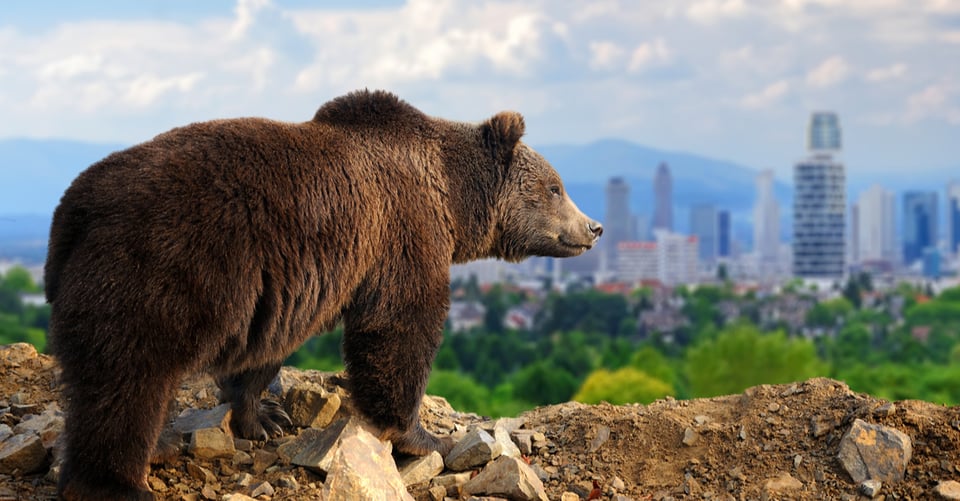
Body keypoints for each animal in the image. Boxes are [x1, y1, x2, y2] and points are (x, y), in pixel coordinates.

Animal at [45, 89, 602, 500]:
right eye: (555, 187)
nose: (593, 227)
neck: (451, 197)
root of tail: (74, 208)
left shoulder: (288, 283)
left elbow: (267, 349)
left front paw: (265, 417)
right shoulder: (402, 232)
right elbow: (401, 327)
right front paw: (424, 436)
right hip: (159, 270)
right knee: (126, 383)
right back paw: (118, 484)